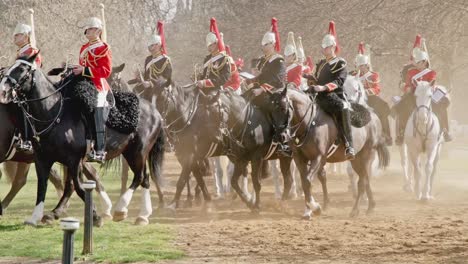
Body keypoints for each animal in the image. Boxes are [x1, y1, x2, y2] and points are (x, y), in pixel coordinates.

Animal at [0, 54, 165, 226]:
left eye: (21, 69)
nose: (3, 90)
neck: (55, 115)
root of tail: (155, 111)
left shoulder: (74, 160)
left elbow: (78, 187)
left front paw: (95, 216)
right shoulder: (43, 159)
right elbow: (43, 186)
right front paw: (35, 217)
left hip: (138, 152)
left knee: (139, 177)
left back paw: (121, 209)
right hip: (130, 152)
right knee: (144, 177)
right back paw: (141, 215)